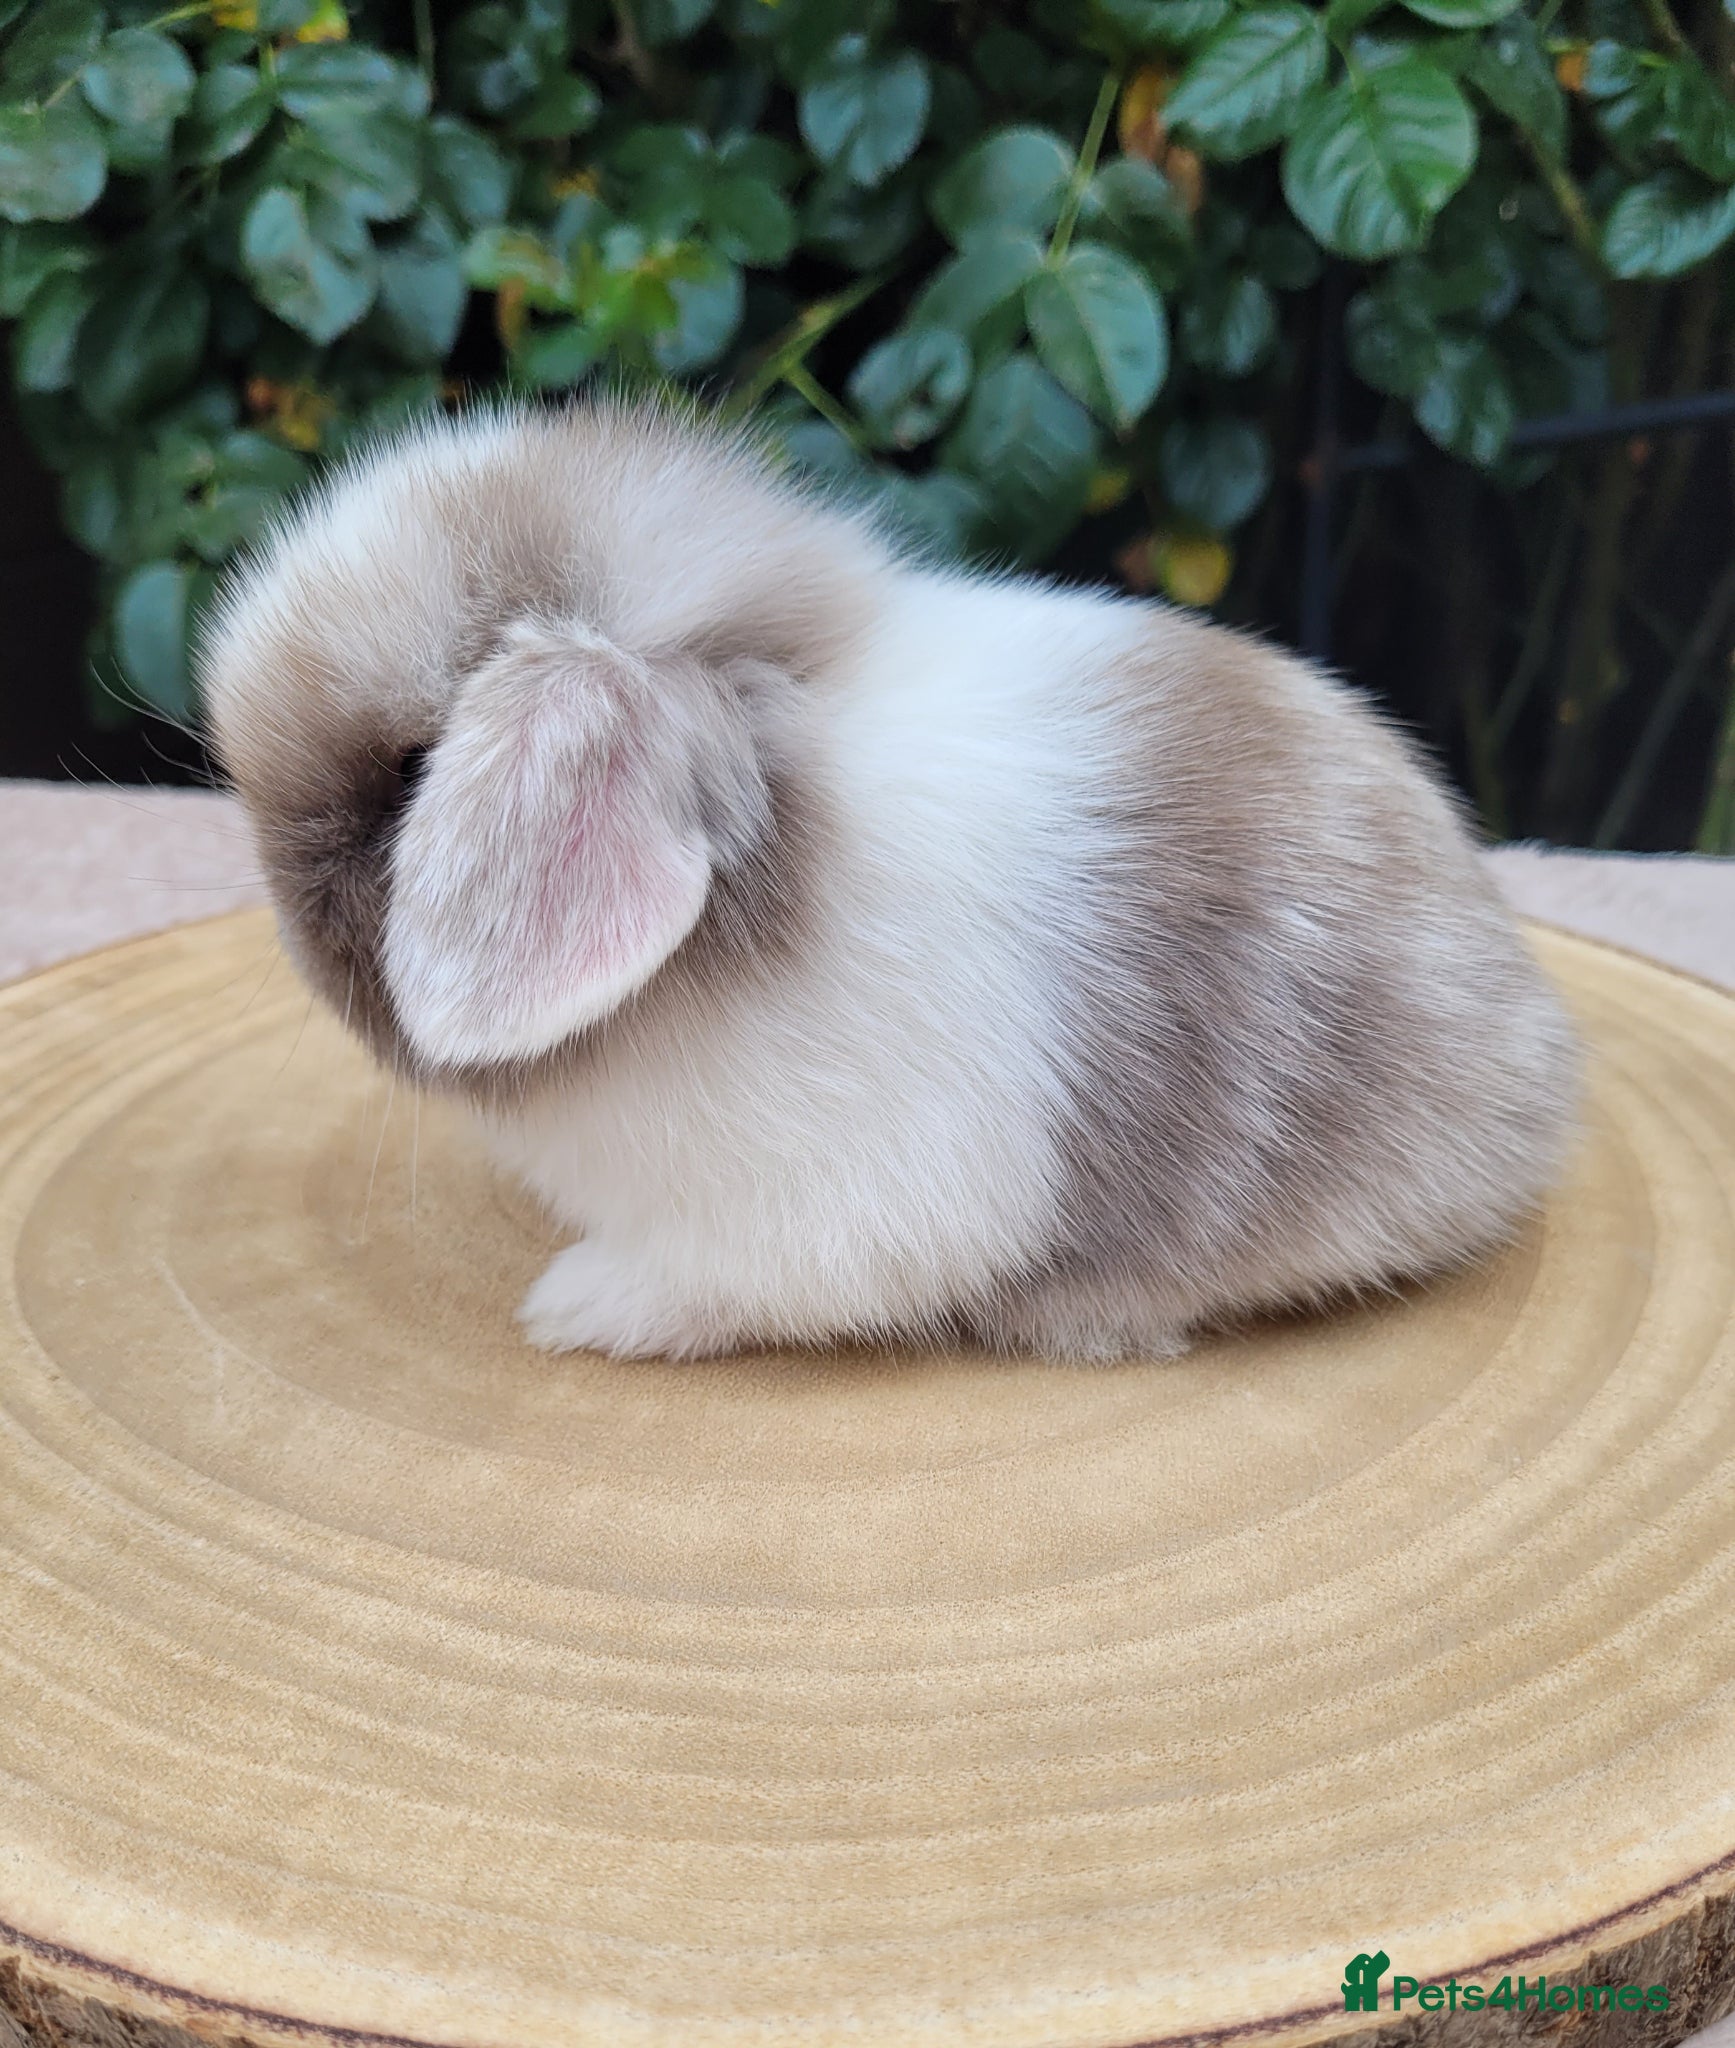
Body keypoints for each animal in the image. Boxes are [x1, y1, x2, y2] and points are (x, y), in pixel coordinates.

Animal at [200, 395, 1579, 1362]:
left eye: (413, 767)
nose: (285, 922)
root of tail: (1540, 1052)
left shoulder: (824, 1213)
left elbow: (708, 1280)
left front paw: (571, 1307)